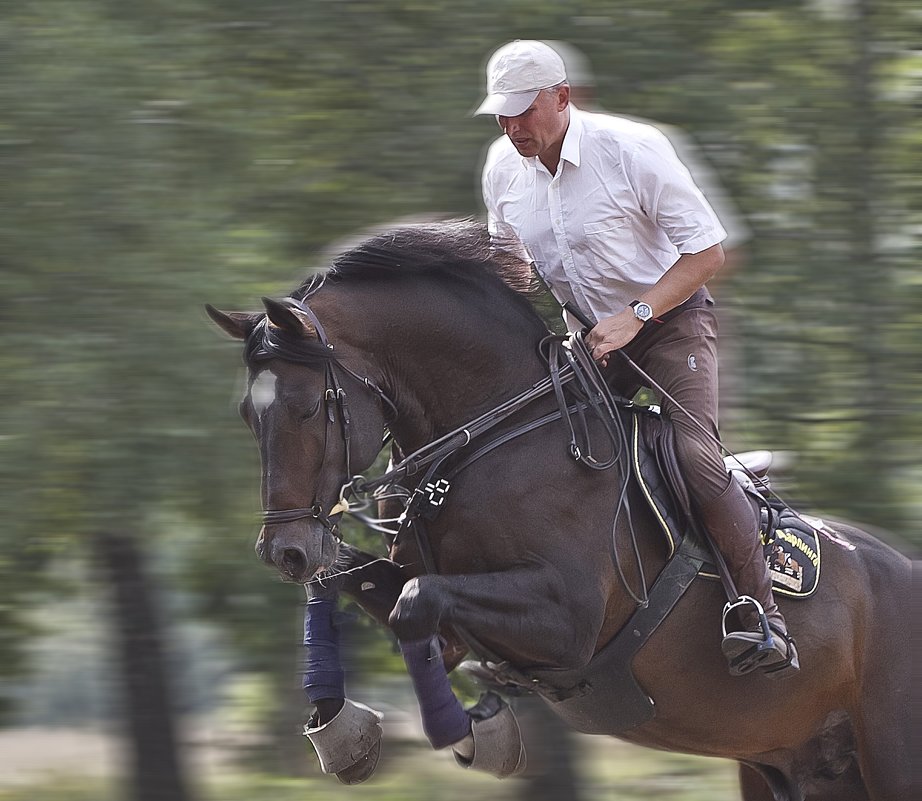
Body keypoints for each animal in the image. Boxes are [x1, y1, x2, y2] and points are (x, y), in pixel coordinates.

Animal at [210, 220, 912, 800]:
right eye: (247, 413)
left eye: (306, 408)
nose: (284, 552)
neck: (490, 436)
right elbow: (362, 588)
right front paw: (343, 733)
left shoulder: (566, 620)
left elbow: (417, 601)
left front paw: (468, 733)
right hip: (796, 766)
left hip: (890, 759)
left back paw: (757, 632)